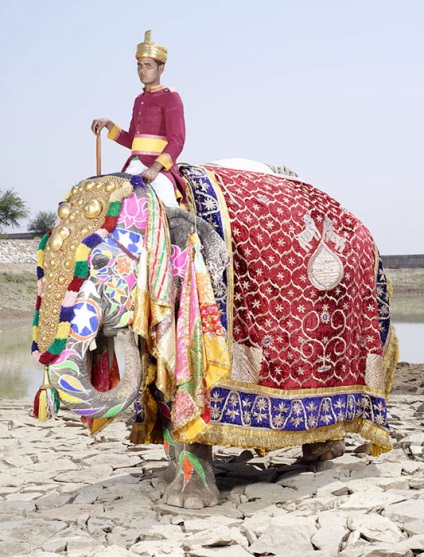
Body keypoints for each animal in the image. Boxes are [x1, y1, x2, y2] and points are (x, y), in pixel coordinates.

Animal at [32, 161, 398, 508]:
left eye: (99, 261)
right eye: (41, 266)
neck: (167, 201)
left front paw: (188, 502)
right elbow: (166, 389)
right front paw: (164, 485)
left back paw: (325, 459)